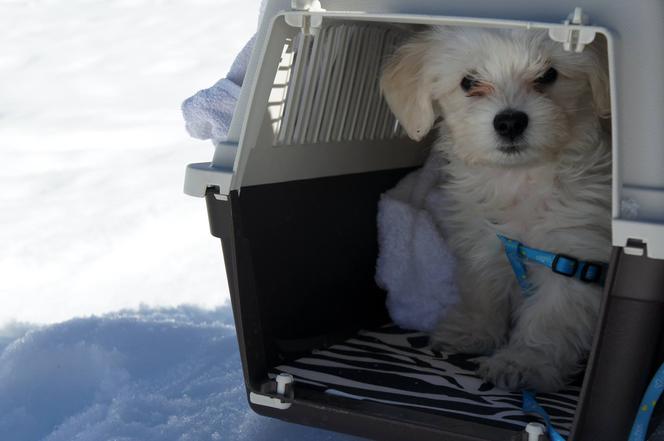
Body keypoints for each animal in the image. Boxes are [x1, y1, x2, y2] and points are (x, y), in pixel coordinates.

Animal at [378, 26, 612, 392]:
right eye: (469, 82)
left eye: (548, 74)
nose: (510, 122)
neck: (520, 179)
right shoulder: (483, 243)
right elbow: (482, 291)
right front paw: (473, 332)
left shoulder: (572, 257)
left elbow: (550, 319)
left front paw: (523, 362)